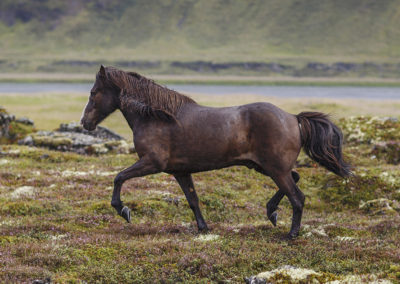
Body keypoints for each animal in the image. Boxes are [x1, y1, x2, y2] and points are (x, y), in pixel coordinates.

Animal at [80, 65, 350, 239]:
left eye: (93, 92)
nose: (85, 122)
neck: (157, 117)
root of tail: (293, 118)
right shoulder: (180, 171)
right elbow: (193, 199)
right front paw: (203, 227)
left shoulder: (152, 163)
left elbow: (119, 178)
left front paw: (123, 210)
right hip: (266, 167)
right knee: (295, 179)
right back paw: (271, 212)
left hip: (275, 169)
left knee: (297, 197)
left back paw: (291, 234)